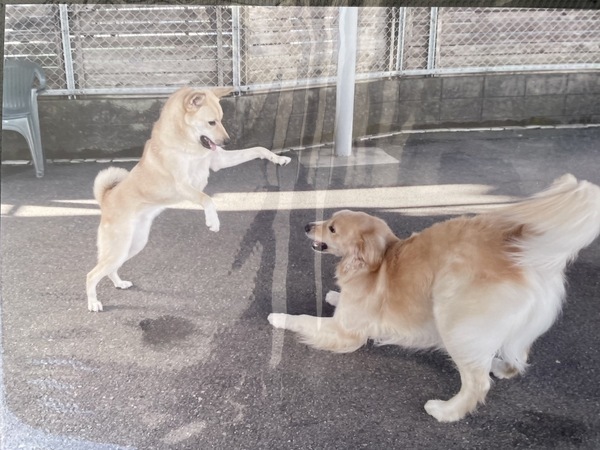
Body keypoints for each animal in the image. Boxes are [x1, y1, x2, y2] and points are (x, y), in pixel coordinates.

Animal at [87, 87, 291, 312]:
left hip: (133, 245)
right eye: (211, 122)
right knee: (91, 275)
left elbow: (258, 149)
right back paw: (93, 302)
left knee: (109, 270)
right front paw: (213, 221)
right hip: (119, 247)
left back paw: (119, 283)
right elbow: (207, 199)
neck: (187, 143)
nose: (227, 142)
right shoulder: (183, 185)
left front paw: (278, 158)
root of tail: (106, 198)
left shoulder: (218, 160)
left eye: (221, 119)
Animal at [269, 174, 600, 422]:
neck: (373, 264)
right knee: (518, 356)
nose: (306, 225)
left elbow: (304, 319)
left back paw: (446, 410)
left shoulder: (345, 332)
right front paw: (334, 294)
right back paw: (498, 364)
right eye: (330, 220)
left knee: (478, 383)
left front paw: (278, 317)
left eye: (333, 228)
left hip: (453, 317)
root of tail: (521, 250)